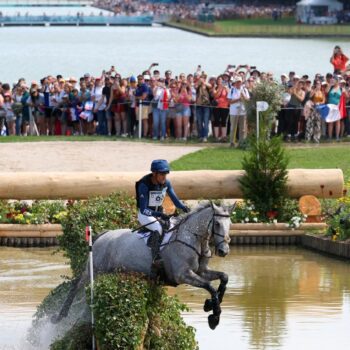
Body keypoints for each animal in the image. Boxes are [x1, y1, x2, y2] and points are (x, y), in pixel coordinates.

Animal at [52, 201, 232, 330]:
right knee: (76, 287)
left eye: (230, 224)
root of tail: (103, 235)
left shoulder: (201, 271)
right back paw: (59, 317)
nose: (223, 251)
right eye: (217, 224)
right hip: (94, 269)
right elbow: (209, 286)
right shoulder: (183, 275)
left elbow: (223, 277)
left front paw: (211, 305)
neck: (193, 239)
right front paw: (214, 316)